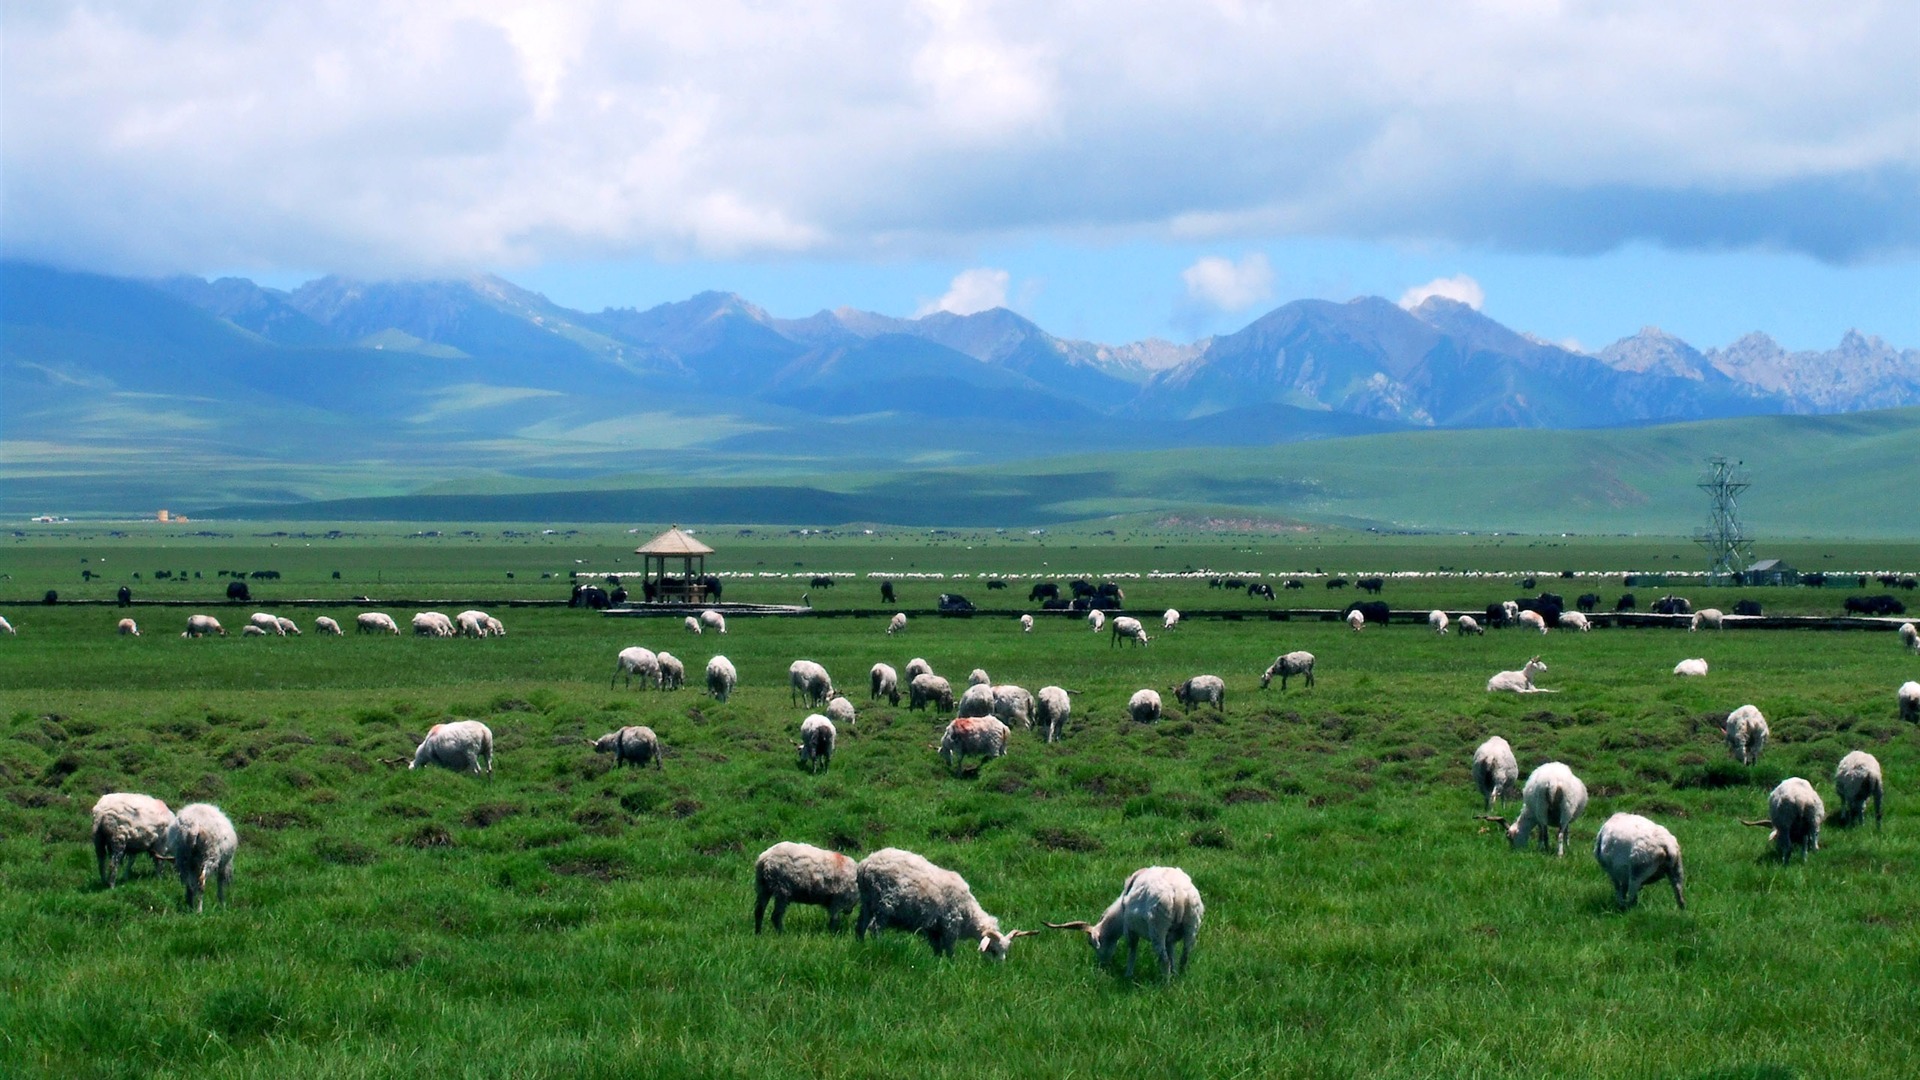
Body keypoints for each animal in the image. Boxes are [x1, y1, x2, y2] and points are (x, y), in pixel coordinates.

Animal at [856, 845, 1036, 953]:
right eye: (993, 950)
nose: (997, 970)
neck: (969, 913)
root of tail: (865, 864)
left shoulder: (934, 931)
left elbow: (938, 951)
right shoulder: (950, 926)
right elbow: (949, 952)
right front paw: (951, 968)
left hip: (867, 902)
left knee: (860, 926)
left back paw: (860, 945)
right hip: (884, 904)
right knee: (875, 928)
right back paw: (878, 946)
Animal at [1044, 864, 1205, 976]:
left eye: (1090, 943)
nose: (1102, 964)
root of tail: (1179, 894)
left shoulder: (1129, 929)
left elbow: (1132, 951)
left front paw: (1128, 975)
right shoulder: (1170, 938)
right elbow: (1172, 955)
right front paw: (1175, 973)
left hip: (1158, 927)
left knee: (1164, 960)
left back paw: (1166, 985)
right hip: (1192, 924)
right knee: (1185, 956)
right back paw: (1179, 980)